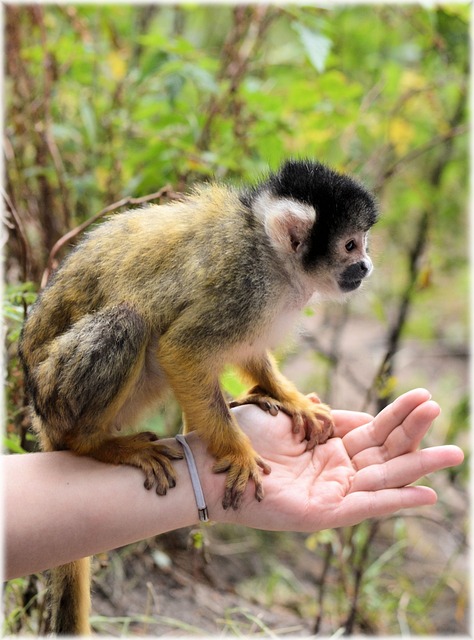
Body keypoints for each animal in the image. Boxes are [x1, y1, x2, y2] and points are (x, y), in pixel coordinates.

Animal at [19, 159, 378, 632]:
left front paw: (288, 397)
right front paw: (238, 451)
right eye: (351, 245)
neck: (270, 254)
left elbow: (246, 350)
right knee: (129, 322)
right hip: (57, 393)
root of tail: (38, 410)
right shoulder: (244, 286)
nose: (367, 265)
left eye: (363, 244)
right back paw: (96, 445)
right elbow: (182, 350)